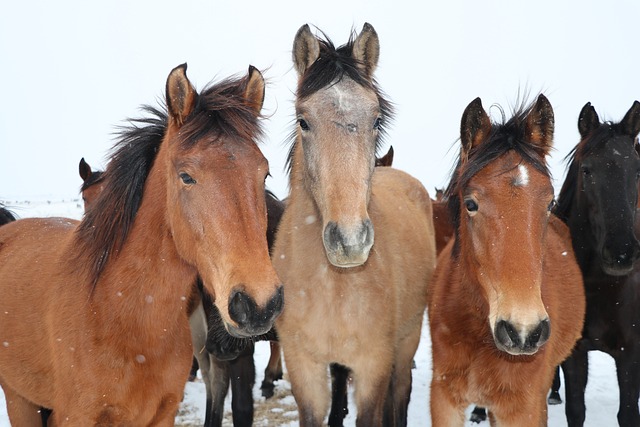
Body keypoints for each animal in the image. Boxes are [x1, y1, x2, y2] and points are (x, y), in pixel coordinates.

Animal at [272, 24, 438, 427]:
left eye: (376, 120)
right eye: (303, 121)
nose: (350, 241)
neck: (333, 287)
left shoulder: (373, 366)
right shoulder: (304, 370)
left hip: (407, 341)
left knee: (401, 392)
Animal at [428, 95, 588, 426]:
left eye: (550, 202)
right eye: (470, 203)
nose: (523, 331)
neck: (480, 335)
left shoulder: (523, 408)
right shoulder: (443, 399)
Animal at [556, 101, 640, 427]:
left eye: (637, 170)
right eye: (587, 170)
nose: (622, 252)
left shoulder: (630, 354)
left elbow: (628, 413)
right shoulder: (574, 353)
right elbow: (575, 410)